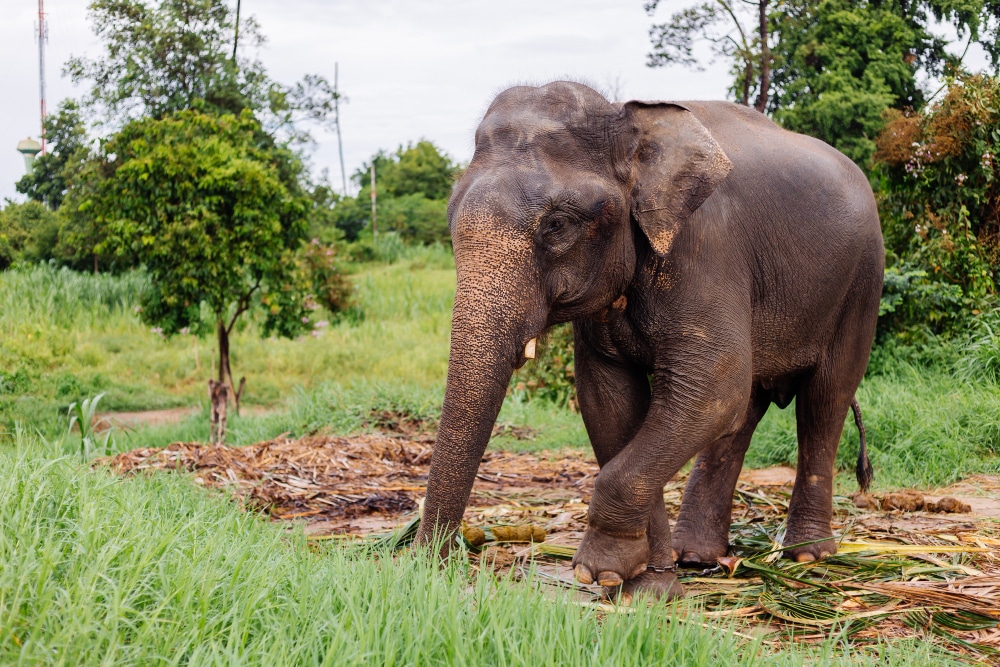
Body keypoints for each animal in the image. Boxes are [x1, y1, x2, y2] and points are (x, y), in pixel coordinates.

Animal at [414, 81, 884, 604]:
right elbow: (610, 401)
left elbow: (712, 385)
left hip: (862, 280)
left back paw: (806, 556)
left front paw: (598, 570)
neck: (627, 120)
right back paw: (695, 557)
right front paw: (647, 589)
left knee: (824, 399)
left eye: (556, 225)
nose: (435, 566)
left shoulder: (706, 251)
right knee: (742, 413)